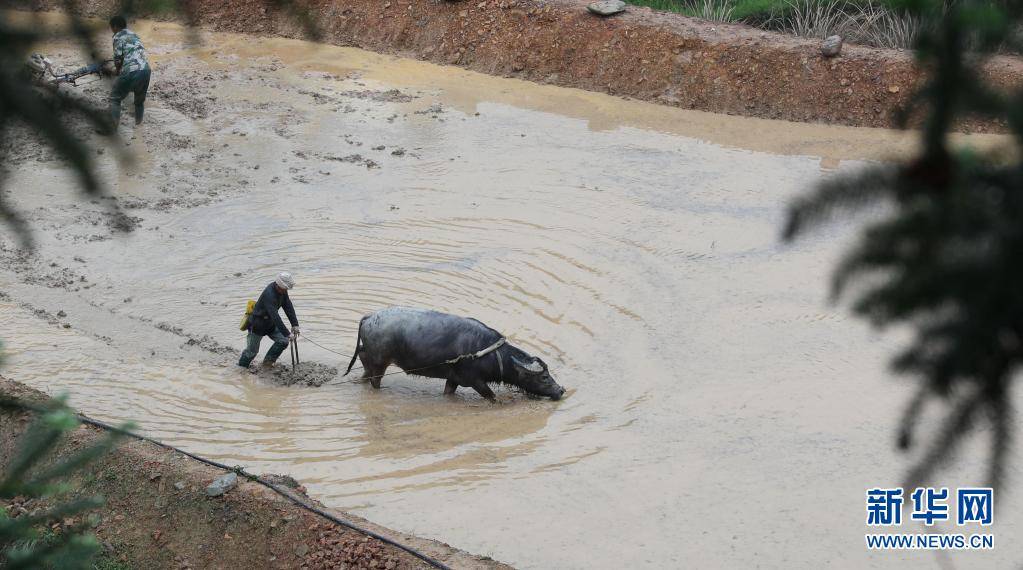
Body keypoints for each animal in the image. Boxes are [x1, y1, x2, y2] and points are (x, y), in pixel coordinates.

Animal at [345, 307, 568, 399]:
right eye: (544, 377)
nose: (561, 390)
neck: (487, 352)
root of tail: (369, 317)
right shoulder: (475, 381)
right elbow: (492, 397)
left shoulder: (453, 380)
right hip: (380, 363)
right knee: (375, 380)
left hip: (370, 357)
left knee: (364, 364)